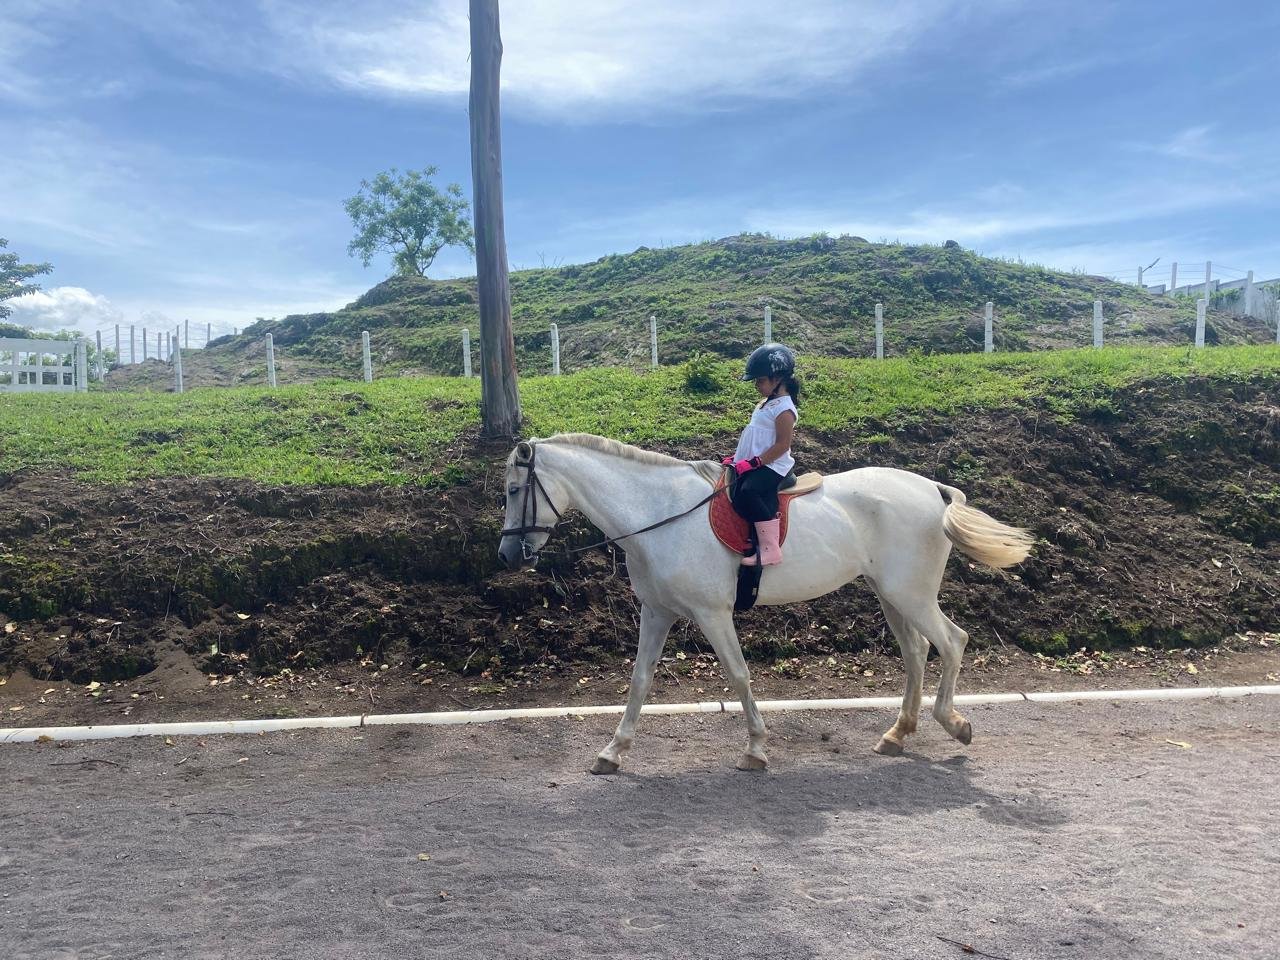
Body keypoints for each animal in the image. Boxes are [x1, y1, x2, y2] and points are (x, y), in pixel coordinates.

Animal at [497, 433, 1033, 774]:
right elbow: (640, 680)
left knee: (952, 641)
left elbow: (738, 674)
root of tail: (935, 489)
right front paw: (613, 752)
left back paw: (954, 724)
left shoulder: (711, 614)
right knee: (917, 652)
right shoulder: (657, 612)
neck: (661, 516)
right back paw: (898, 734)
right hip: (891, 594)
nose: (507, 555)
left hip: (911, 593)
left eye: (514, 489)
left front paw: (756, 749)